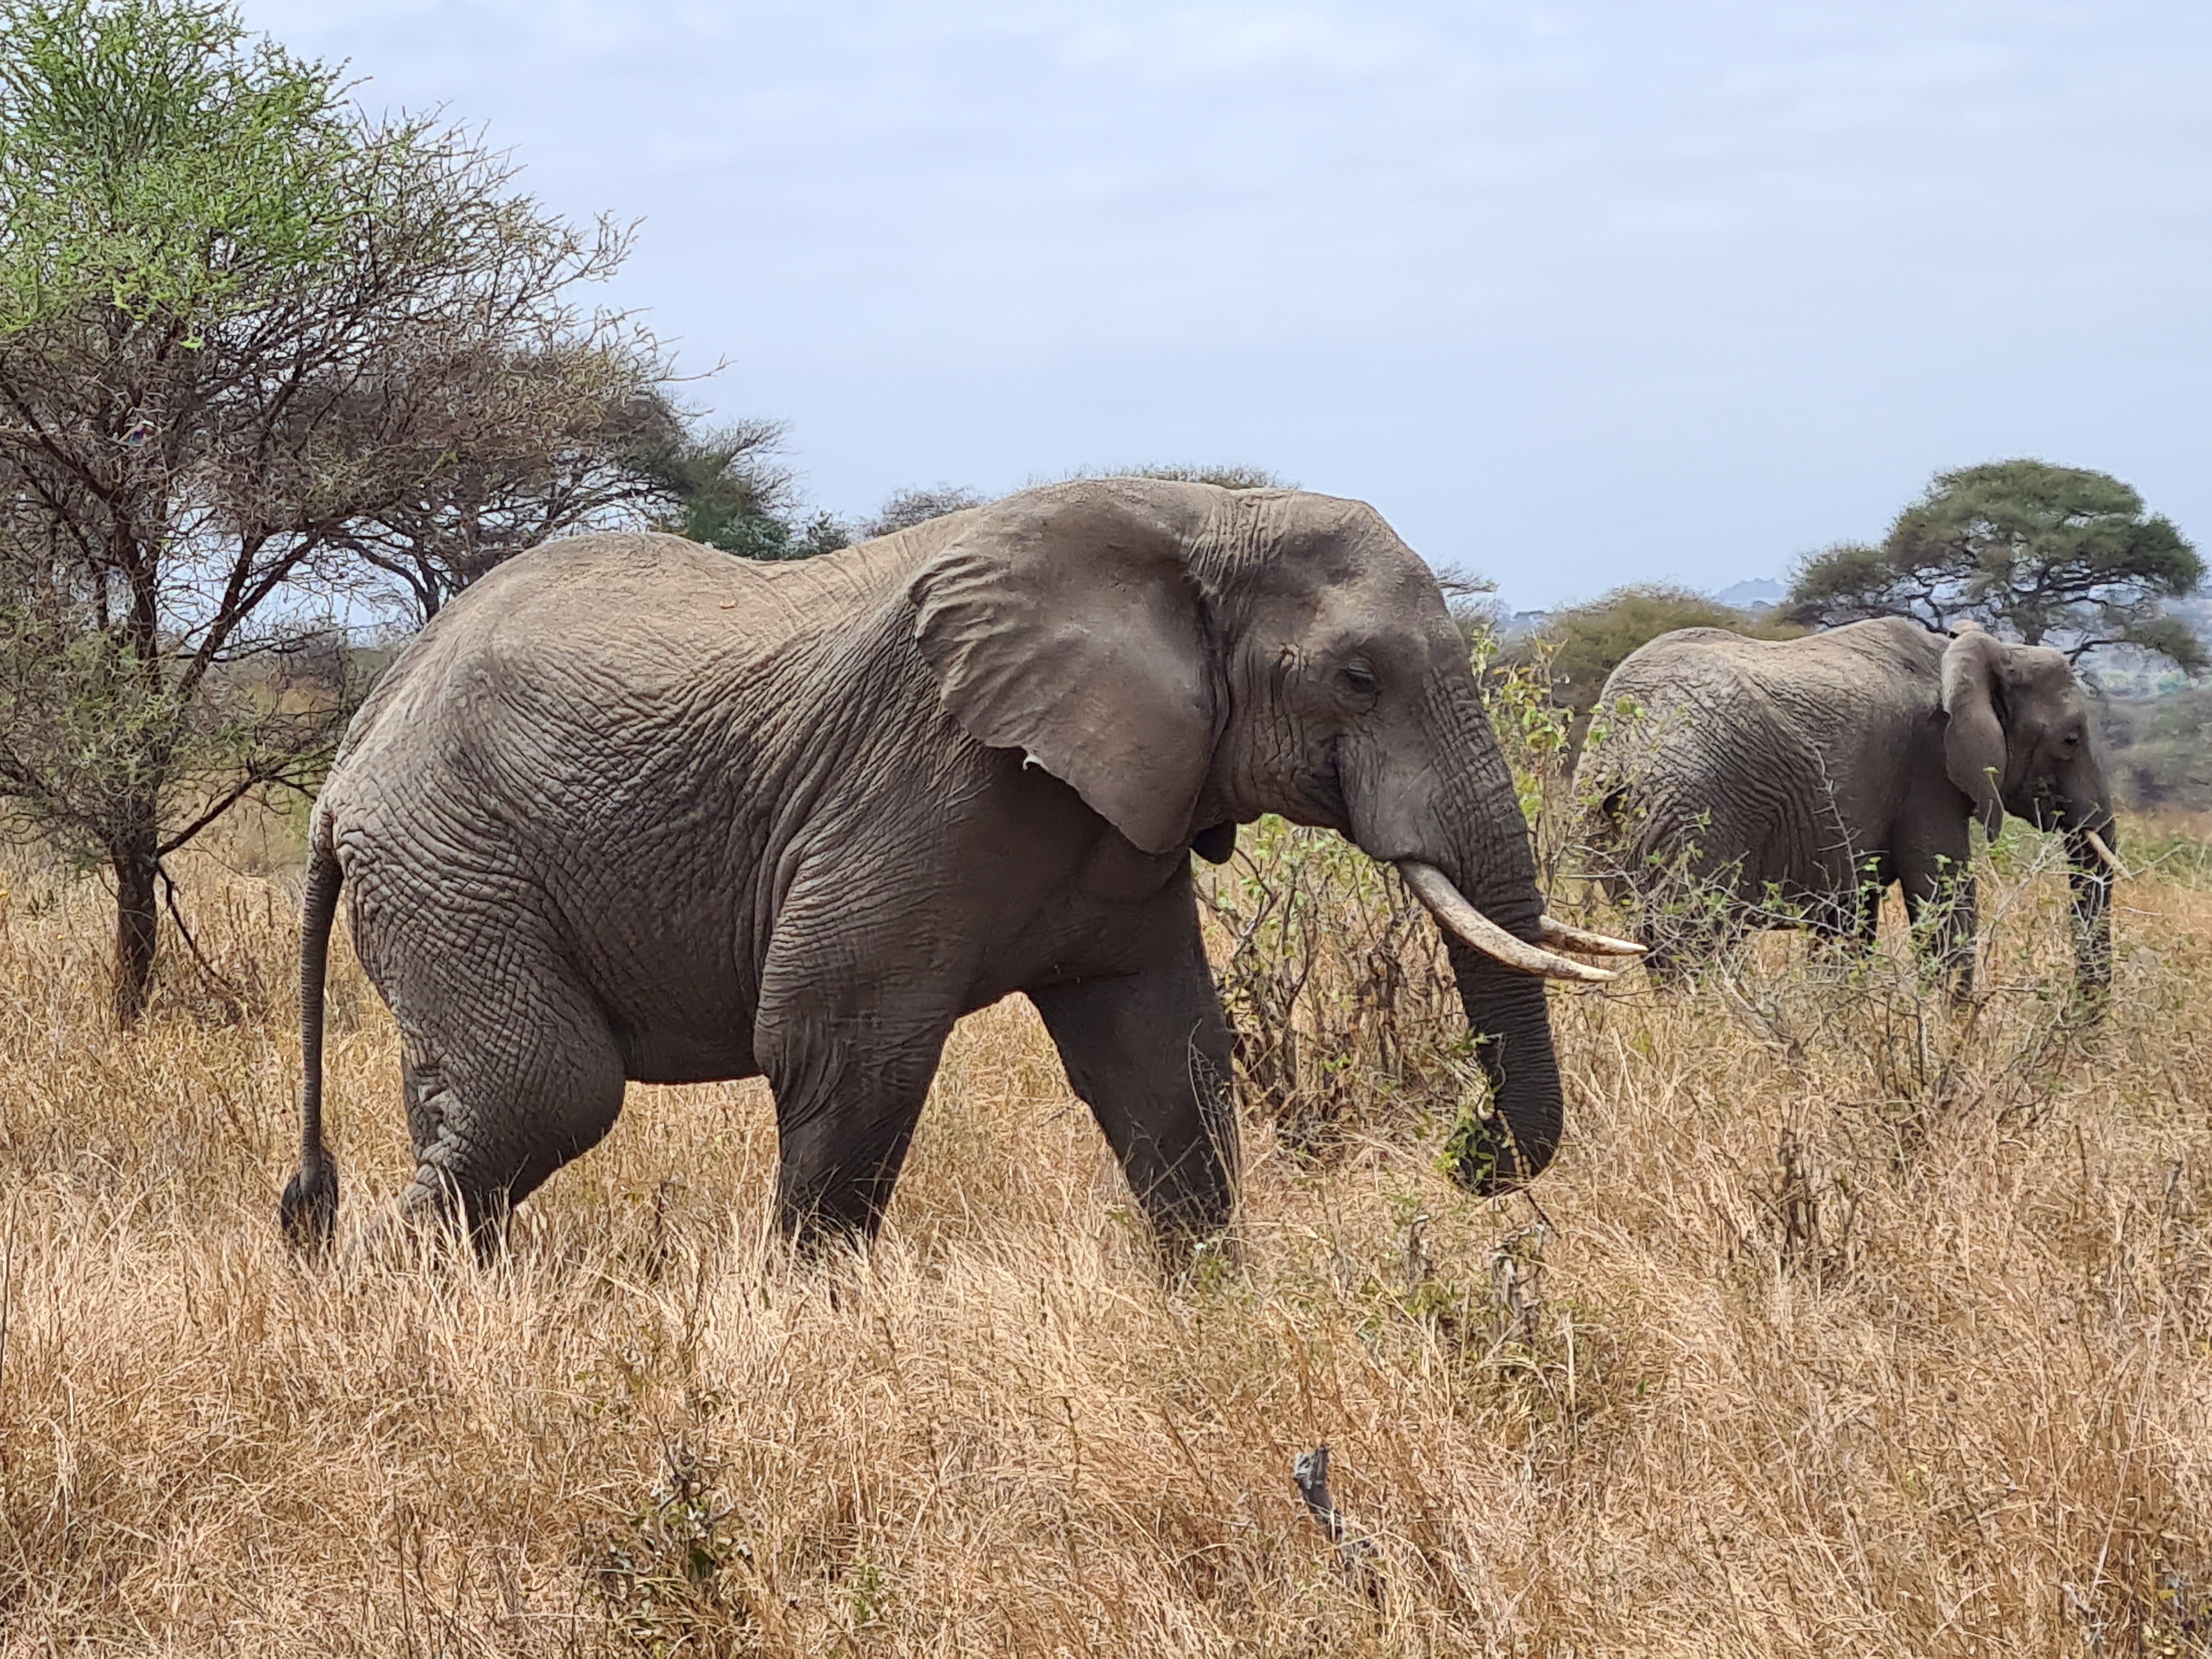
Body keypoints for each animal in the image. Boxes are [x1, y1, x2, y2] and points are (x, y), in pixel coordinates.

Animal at [281, 479, 1645, 1256]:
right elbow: (838, 1041)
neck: (1194, 520)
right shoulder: (921, 777)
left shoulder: (1126, 808)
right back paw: (372, 1293)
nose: (1466, 1158)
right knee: (547, 1093)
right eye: (1359, 678)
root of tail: (352, 759)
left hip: (442, 873)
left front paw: (1213, 1313)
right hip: (455, 857)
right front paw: (800, 1329)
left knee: (473, 1105)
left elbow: (1165, 1057)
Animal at [1575, 619, 2123, 986]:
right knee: (1693, 944)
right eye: (2071, 740)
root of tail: (1619, 746)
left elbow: (1852, 921)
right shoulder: (1926, 771)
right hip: (1698, 813)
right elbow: (1944, 900)